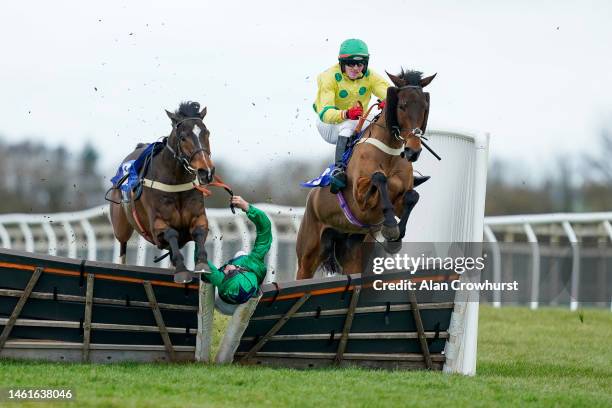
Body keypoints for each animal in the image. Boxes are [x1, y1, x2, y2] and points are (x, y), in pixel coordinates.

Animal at [109, 101, 216, 284]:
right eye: (183, 137)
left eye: (206, 133)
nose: (206, 171)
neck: (175, 181)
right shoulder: (157, 225)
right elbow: (171, 233)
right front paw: (182, 271)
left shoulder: (198, 216)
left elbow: (200, 230)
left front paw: (202, 264)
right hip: (120, 226)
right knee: (122, 246)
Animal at [296, 70, 436, 280]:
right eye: (402, 105)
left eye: (425, 107)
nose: (413, 151)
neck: (389, 152)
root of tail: (311, 196)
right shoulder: (360, 199)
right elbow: (379, 178)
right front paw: (390, 226)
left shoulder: (401, 199)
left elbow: (413, 196)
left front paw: (395, 237)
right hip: (308, 255)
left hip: (354, 254)